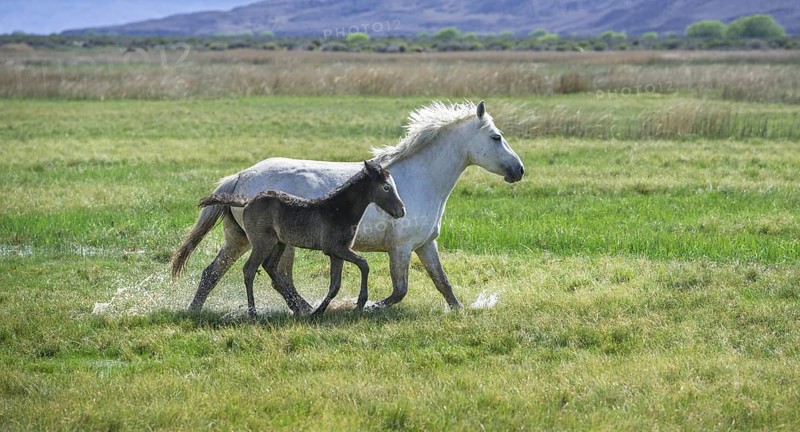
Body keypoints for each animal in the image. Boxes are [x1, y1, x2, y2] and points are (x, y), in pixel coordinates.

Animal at [197, 161, 405, 318]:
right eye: (386, 187)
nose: (401, 211)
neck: (337, 210)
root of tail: (247, 201)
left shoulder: (337, 252)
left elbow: (335, 284)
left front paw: (318, 313)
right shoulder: (336, 248)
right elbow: (363, 264)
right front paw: (360, 303)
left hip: (279, 243)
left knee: (270, 268)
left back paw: (299, 308)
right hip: (263, 242)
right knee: (249, 270)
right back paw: (254, 313)